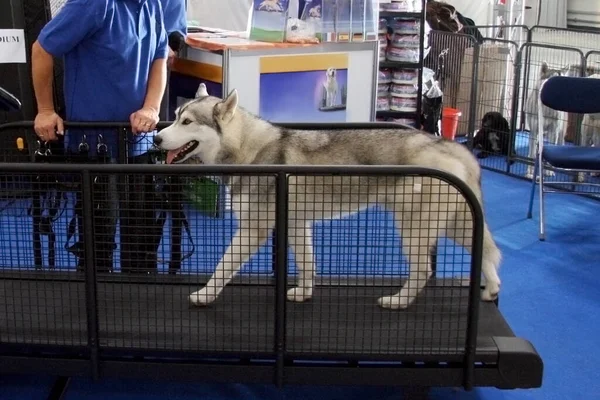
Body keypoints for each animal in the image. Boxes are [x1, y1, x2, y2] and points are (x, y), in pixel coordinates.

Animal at [154, 83, 502, 310]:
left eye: (187, 122)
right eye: (175, 115)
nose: (156, 138)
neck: (248, 151)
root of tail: (448, 144)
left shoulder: (254, 229)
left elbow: (223, 266)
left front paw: (204, 295)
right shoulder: (296, 224)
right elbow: (307, 263)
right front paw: (304, 293)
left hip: (414, 231)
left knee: (424, 271)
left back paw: (399, 301)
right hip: (456, 224)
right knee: (488, 252)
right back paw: (491, 288)